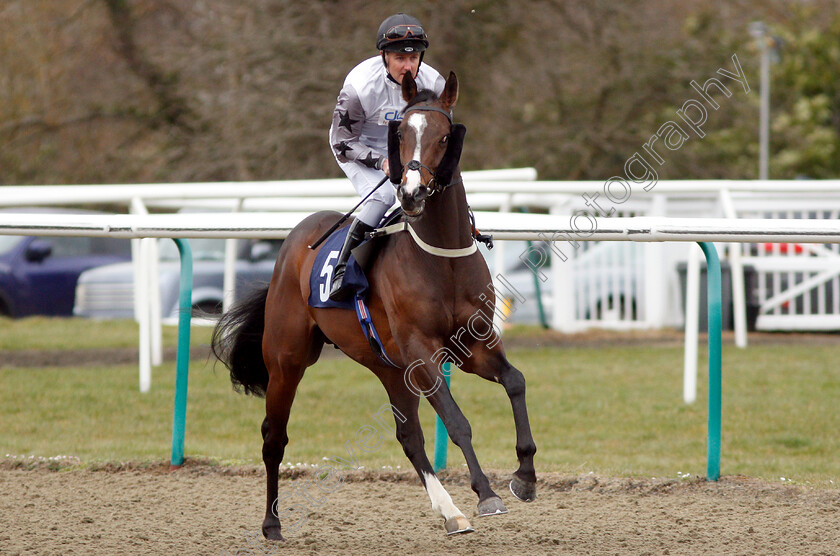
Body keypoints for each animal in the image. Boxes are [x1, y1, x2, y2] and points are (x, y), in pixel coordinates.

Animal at [212, 69, 540, 540]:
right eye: (400, 133)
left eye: (444, 136)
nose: (412, 192)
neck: (442, 257)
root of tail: (295, 239)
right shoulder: (422, 350)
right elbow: (457, 421)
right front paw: (486, 493)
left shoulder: (471, 346)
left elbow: (515, 382)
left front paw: (525, 477)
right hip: (287, 360)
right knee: (274, 437)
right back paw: (272, 523)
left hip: (390, 368)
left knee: (409, 438)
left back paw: (450, 512)